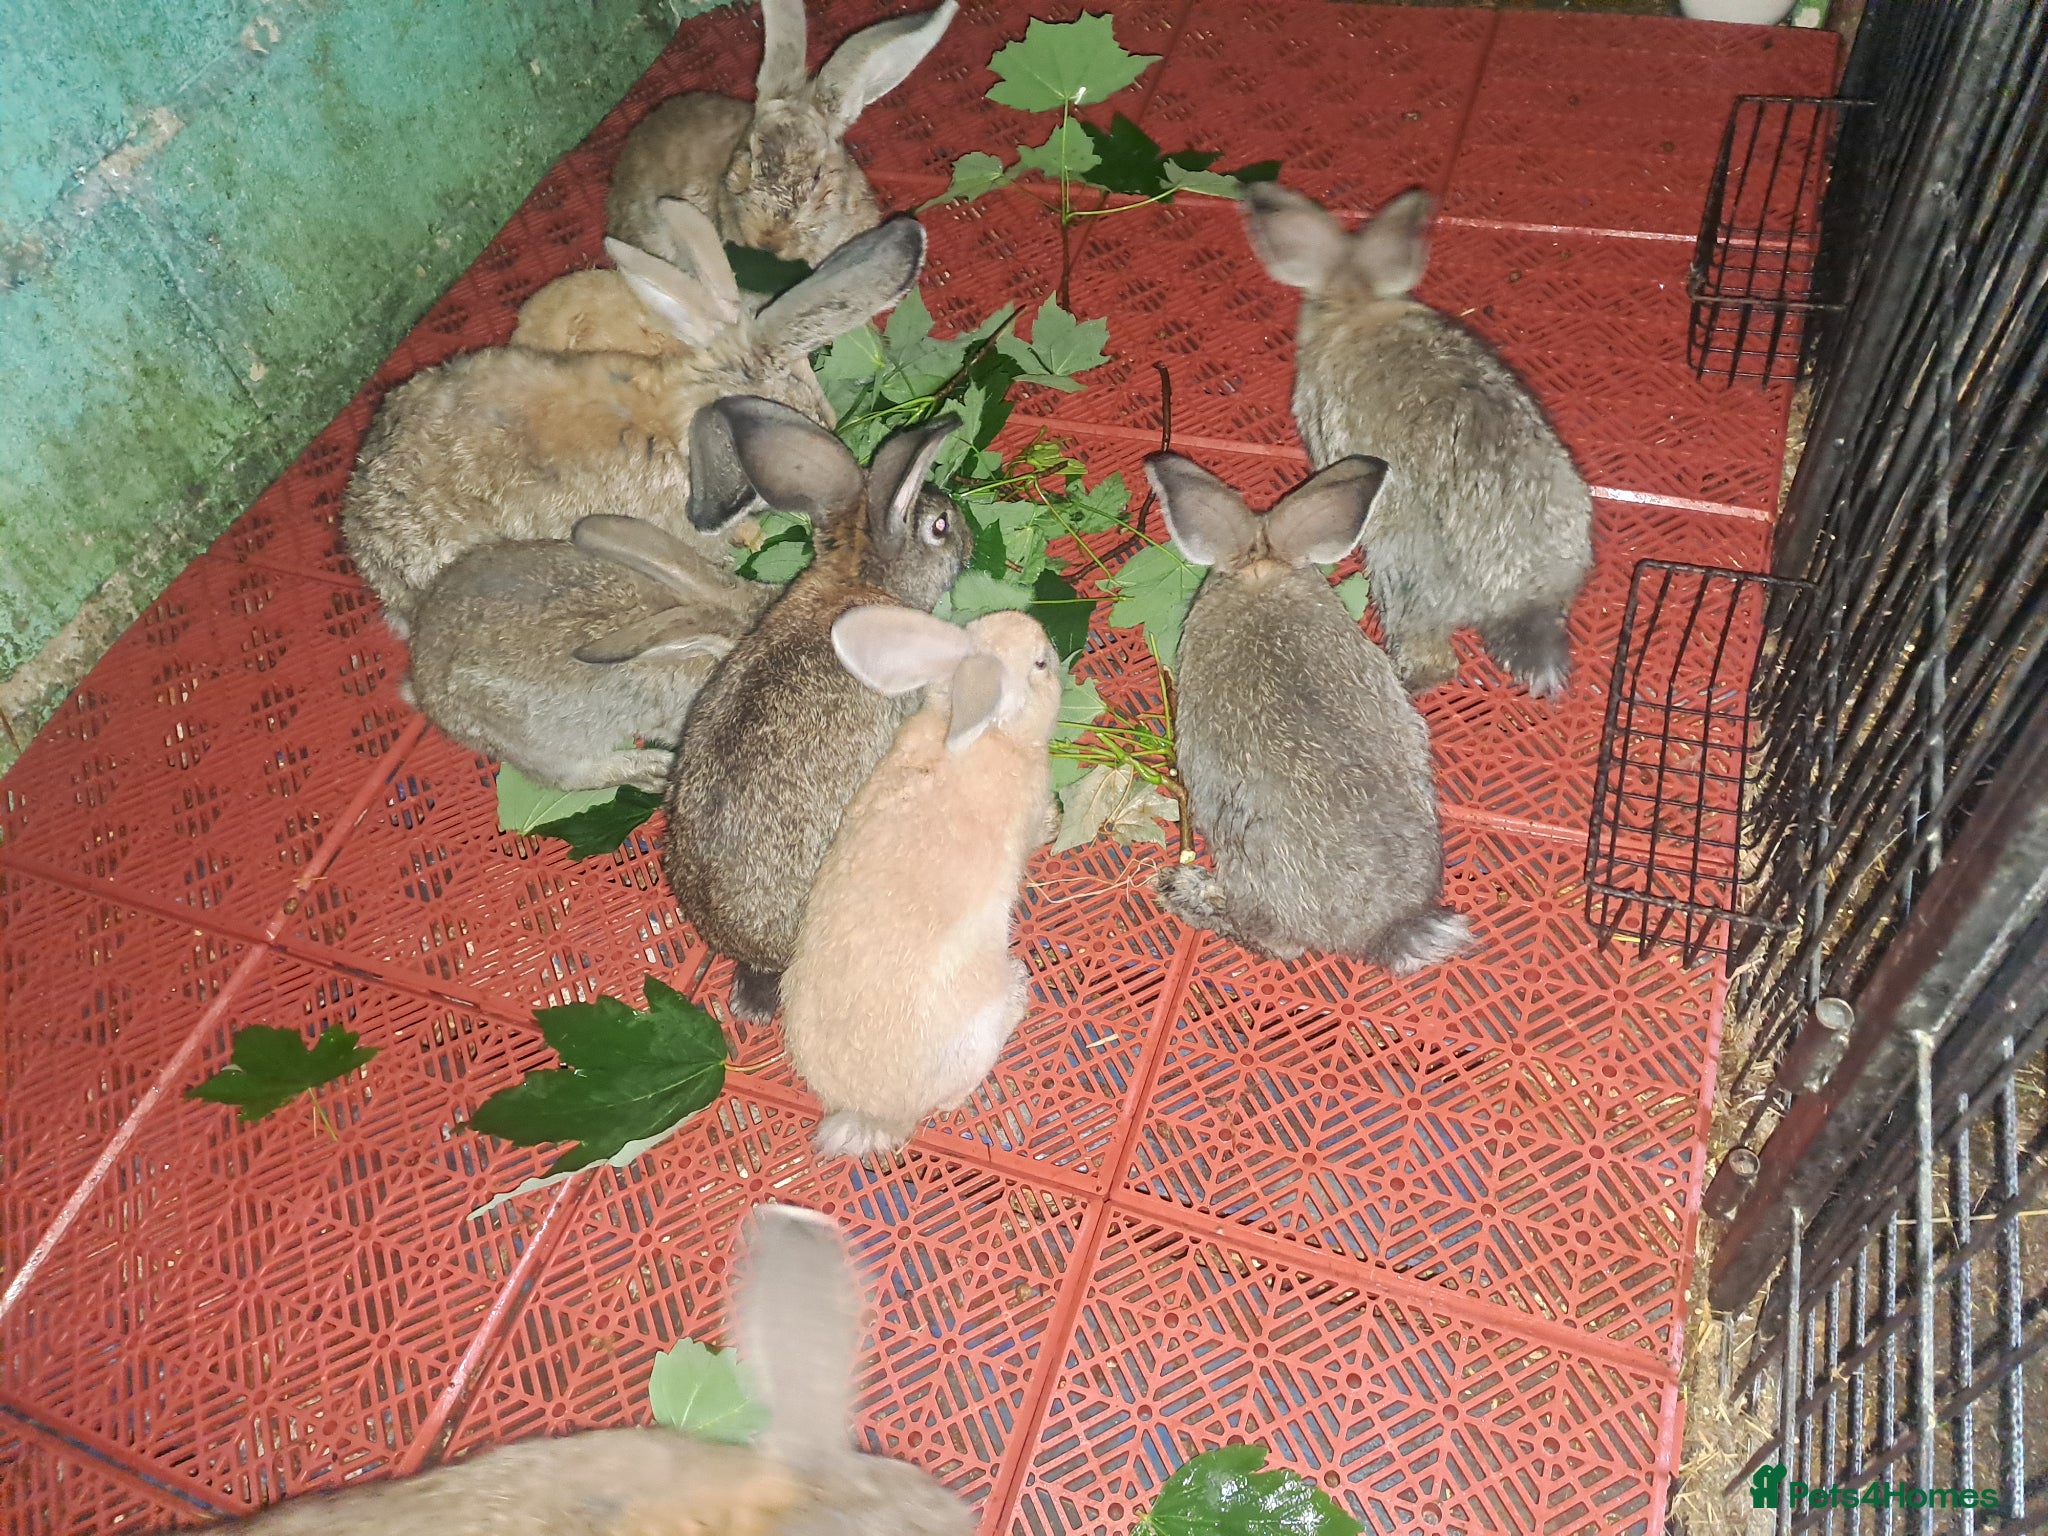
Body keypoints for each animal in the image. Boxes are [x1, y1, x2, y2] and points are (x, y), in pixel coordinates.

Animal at [779, 606, 1062, 1160]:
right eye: (1040, 664)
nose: (1048, 640)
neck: (984, 731)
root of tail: (873, 1110)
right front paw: (1054, 822)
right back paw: (1020, 990)